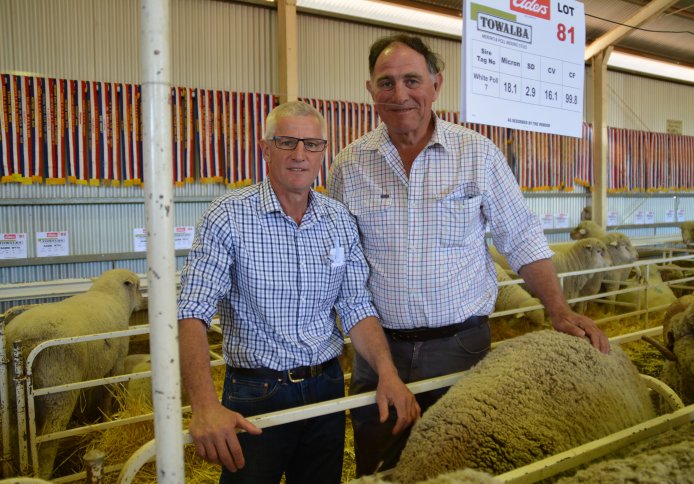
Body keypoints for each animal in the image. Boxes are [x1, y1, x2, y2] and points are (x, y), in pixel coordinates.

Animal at [2, 270, 144, 478]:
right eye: (138, 286)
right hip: (59, 389)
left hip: (12, 394)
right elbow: (108, 393)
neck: (112, 295)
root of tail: (23, 342)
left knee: (13, 431)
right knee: (50, 437)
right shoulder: (115, 365)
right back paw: (45, 474)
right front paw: (108, 419)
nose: (143, 301)